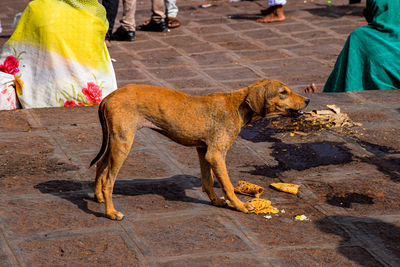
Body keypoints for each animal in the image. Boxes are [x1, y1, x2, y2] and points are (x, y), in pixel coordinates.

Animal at [90, 79, 310, 220]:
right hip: (123, 142)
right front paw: (240, 206)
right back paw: (111, 212)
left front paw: (216, 200)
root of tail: (109, 97)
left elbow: (208, 181)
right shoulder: (216, 155)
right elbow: (228, 186)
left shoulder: (203, 151)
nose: (308, 100)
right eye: (283, 92)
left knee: (100, 165)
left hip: (114, 141)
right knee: (109, 180)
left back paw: (98, 196)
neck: (237, 105)